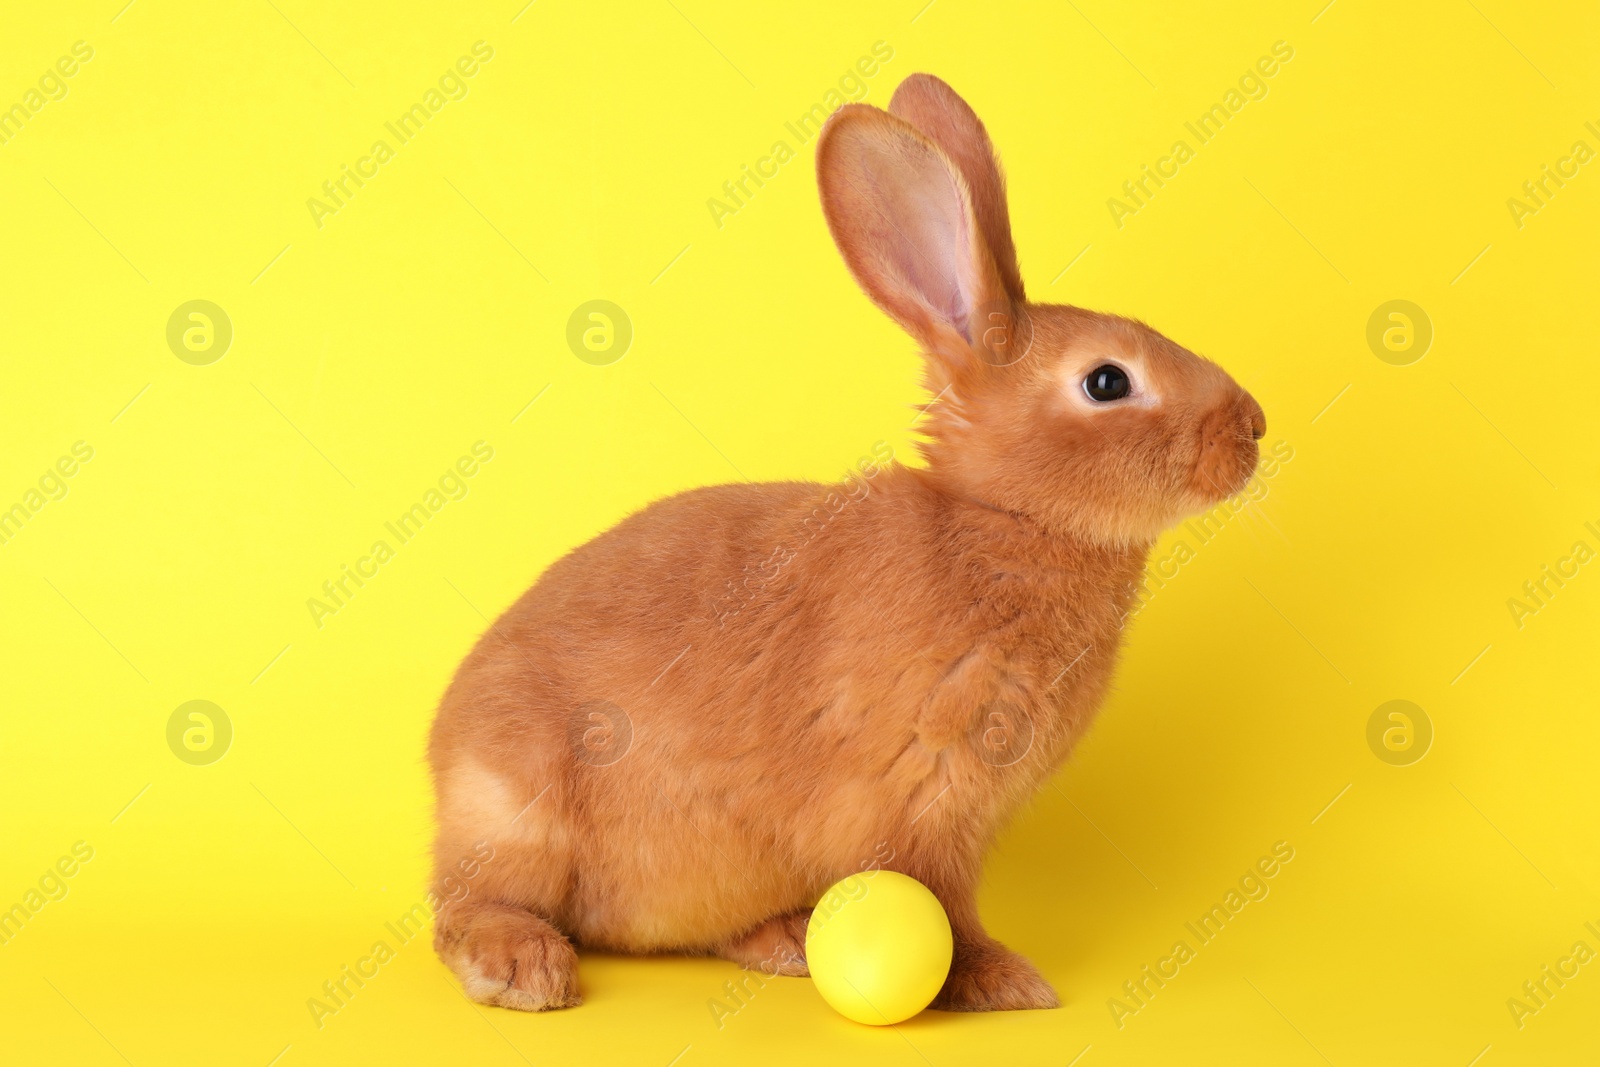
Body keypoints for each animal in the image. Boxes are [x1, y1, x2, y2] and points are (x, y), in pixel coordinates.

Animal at [425, 73, 1260, 1011]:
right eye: (1108, 381)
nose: (1254, 427)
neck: (1001, 519)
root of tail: (443, 754)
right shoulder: (915, 802)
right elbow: (940, 904)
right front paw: (1000, 980)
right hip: (520, 813)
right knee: (467, 905)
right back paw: (522, 967)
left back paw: (783, 941)